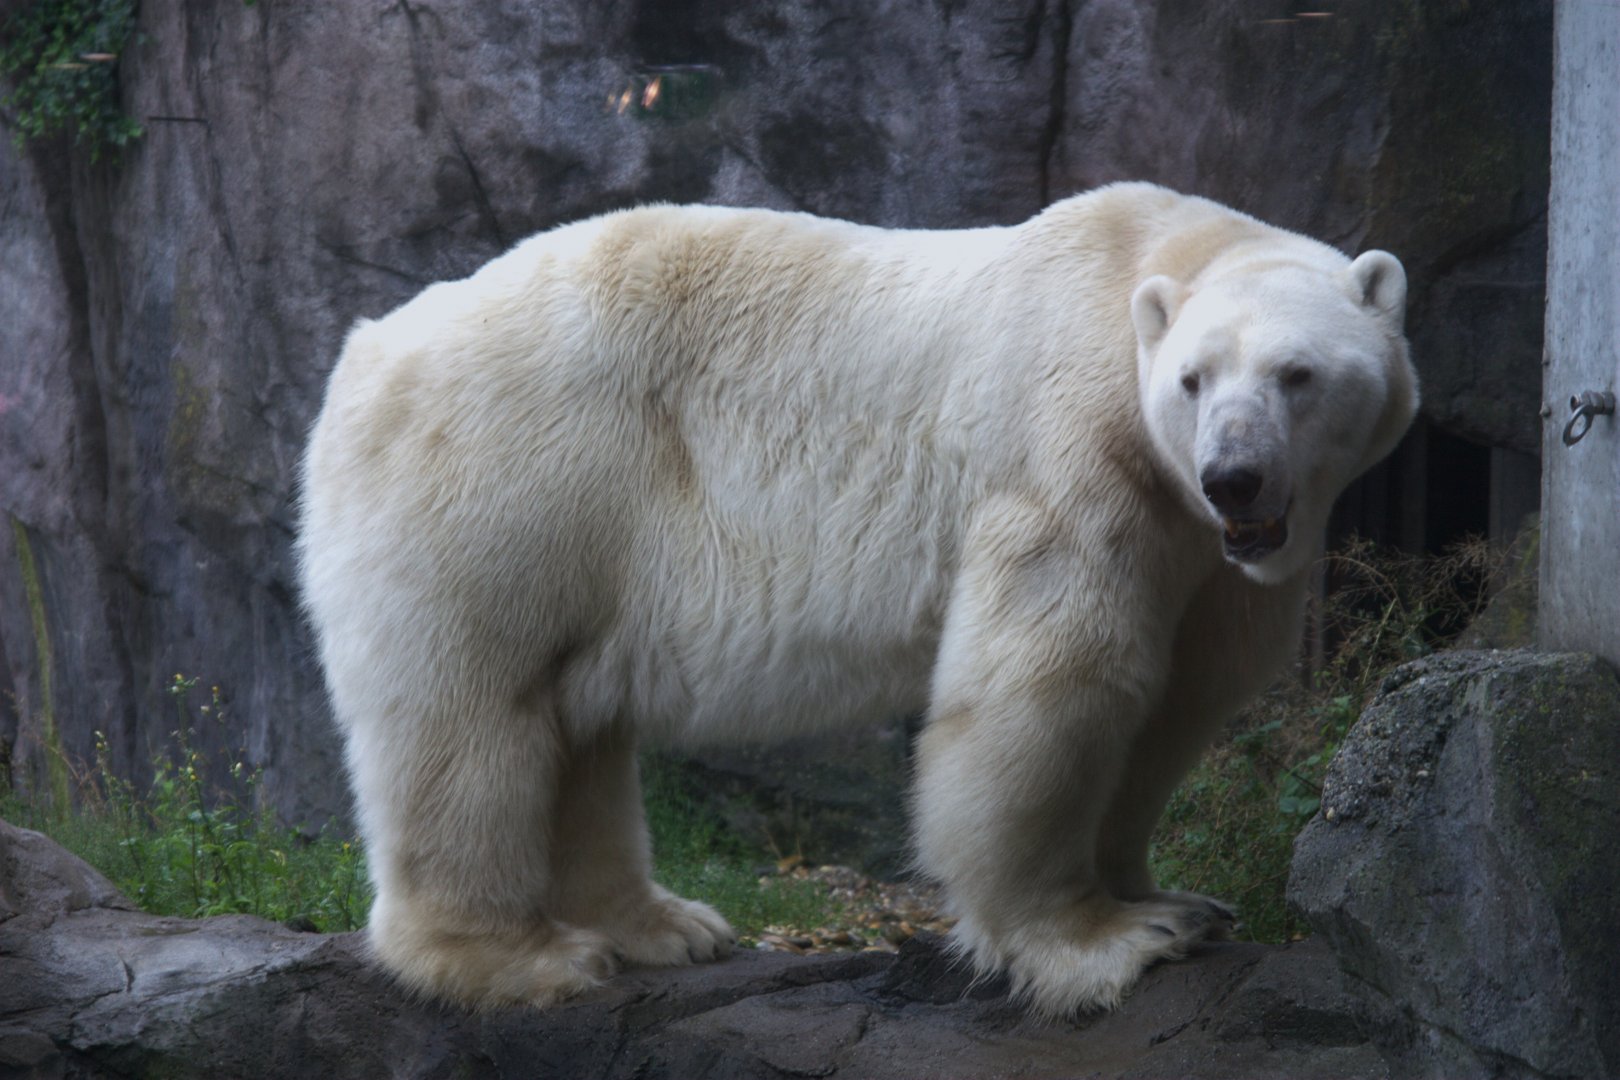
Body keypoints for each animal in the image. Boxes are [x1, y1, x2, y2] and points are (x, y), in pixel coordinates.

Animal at [298, 182, 1417, 1016]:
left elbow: (1182, 697)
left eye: (1298, 374)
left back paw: (663, 926)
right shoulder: (1068, 453)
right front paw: (1106, 940)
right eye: (1193, 379)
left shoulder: (1202, 547)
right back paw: (520, 957)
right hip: (514, 472)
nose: (1234, 477)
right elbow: (1058, 683)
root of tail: (368, 348)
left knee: (576, 716)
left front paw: (1171, 898)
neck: (1134, 267)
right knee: (474, 708)